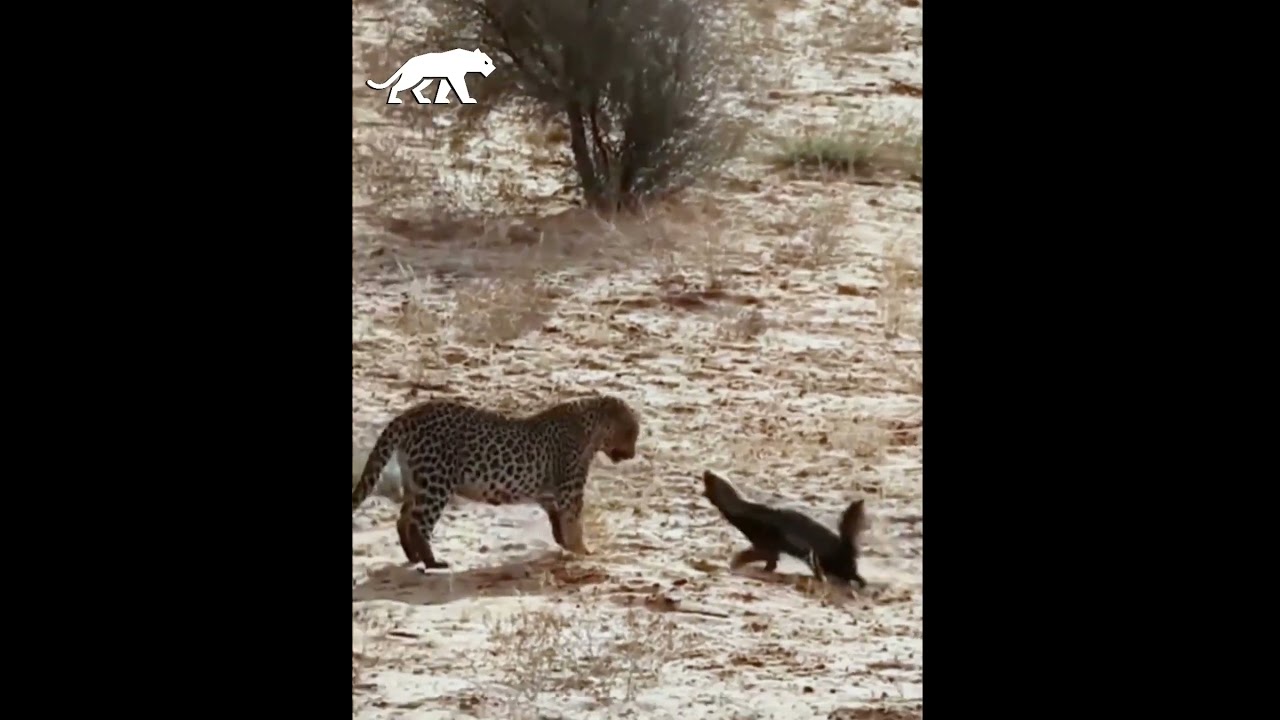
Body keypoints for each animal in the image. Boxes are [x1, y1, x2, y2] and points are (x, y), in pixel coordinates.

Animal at [351, 394, 641, 570]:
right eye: (631, 431)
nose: (633, 453)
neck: (591, 430)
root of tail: (410, 413)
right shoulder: (571, 490)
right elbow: (573, 522)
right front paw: (582, 551)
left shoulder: (549, 495)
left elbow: (558, 521)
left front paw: (566, 545)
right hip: (436, 482)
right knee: (418, 524)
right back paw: (433, 562)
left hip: (415, 480)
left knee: (403, 519)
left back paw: (413, 557)